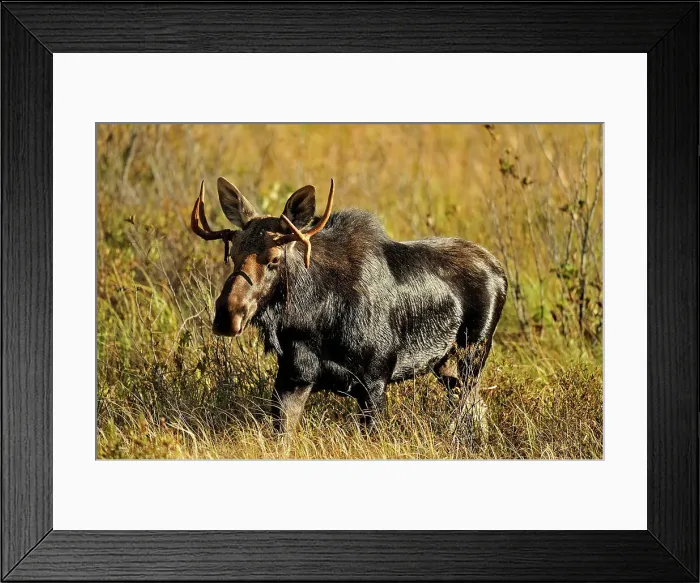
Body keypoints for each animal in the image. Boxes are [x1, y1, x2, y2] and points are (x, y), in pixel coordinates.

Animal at [190, 177, 507, 433]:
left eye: (274, 259)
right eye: (232, 254)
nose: (227, 315)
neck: (312, 321)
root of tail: (500, 271)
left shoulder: (375, 380)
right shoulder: (292, 377)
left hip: (474, 351)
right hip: (447, 365)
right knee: (477, 410)